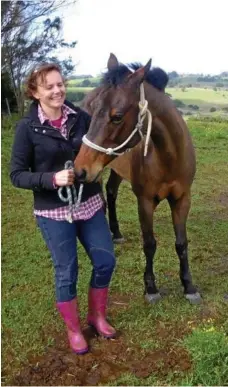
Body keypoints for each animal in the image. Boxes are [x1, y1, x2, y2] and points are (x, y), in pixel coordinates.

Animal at [75, 53, 201, 304]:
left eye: (117, 116)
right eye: (94, 109)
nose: (79, 169)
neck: (168, 156)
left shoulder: (182, 199)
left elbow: (181, 243)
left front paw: (189, 286)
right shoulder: (144, 201)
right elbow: (150, 243)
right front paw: (151, 288)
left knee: (111, 193)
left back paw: (116, 233)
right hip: (99, 172)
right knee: (102, 200)